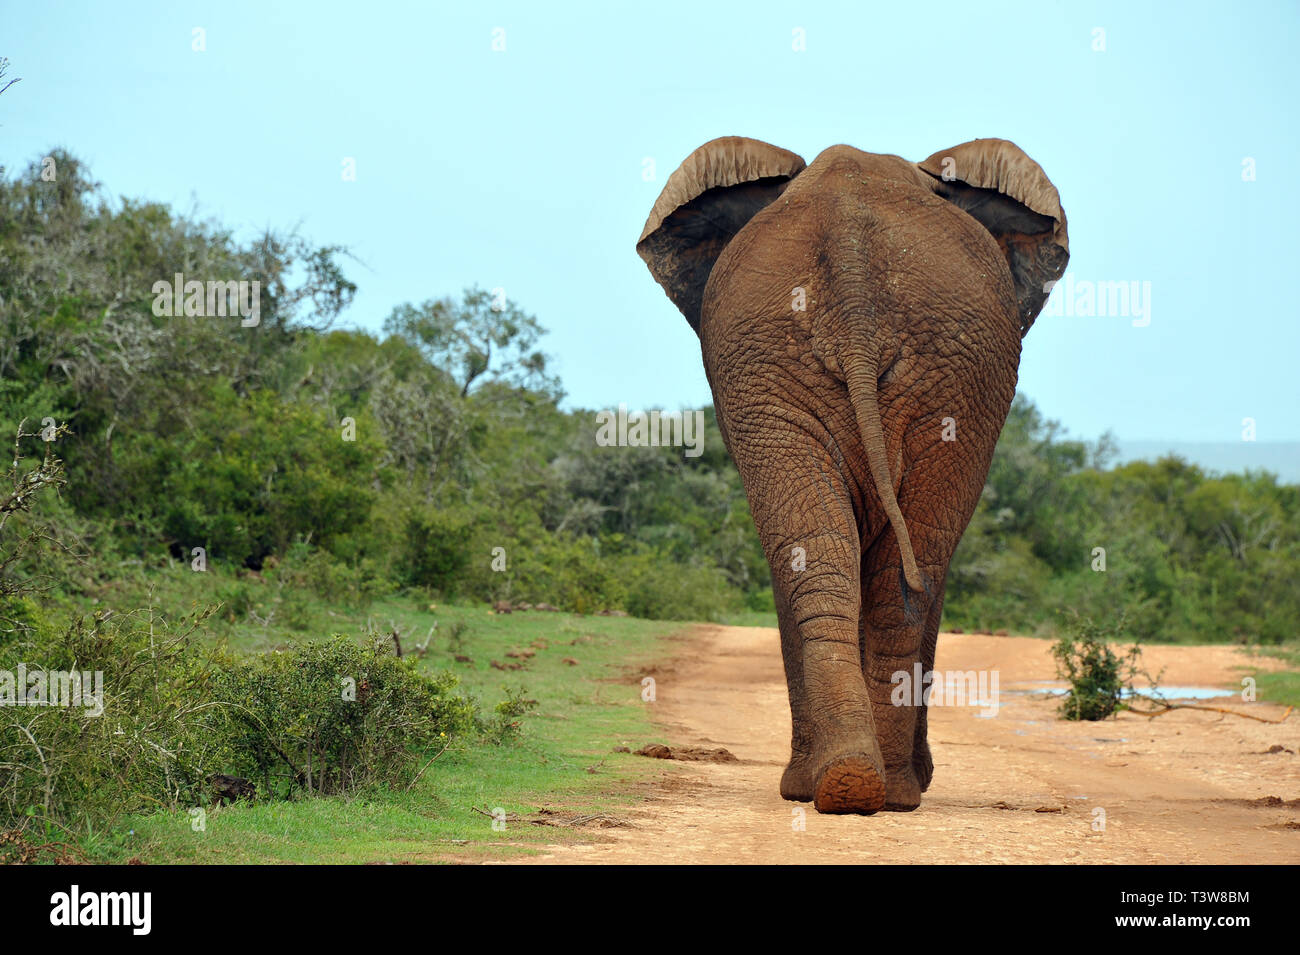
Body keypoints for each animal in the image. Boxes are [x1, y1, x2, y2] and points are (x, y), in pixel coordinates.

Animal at [634, 136, 1071, 815]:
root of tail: (851, 259)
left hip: (929, 368)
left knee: (872, 561)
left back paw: (863, 786)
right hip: (850, 365)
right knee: (882, 564)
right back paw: (862, 787)